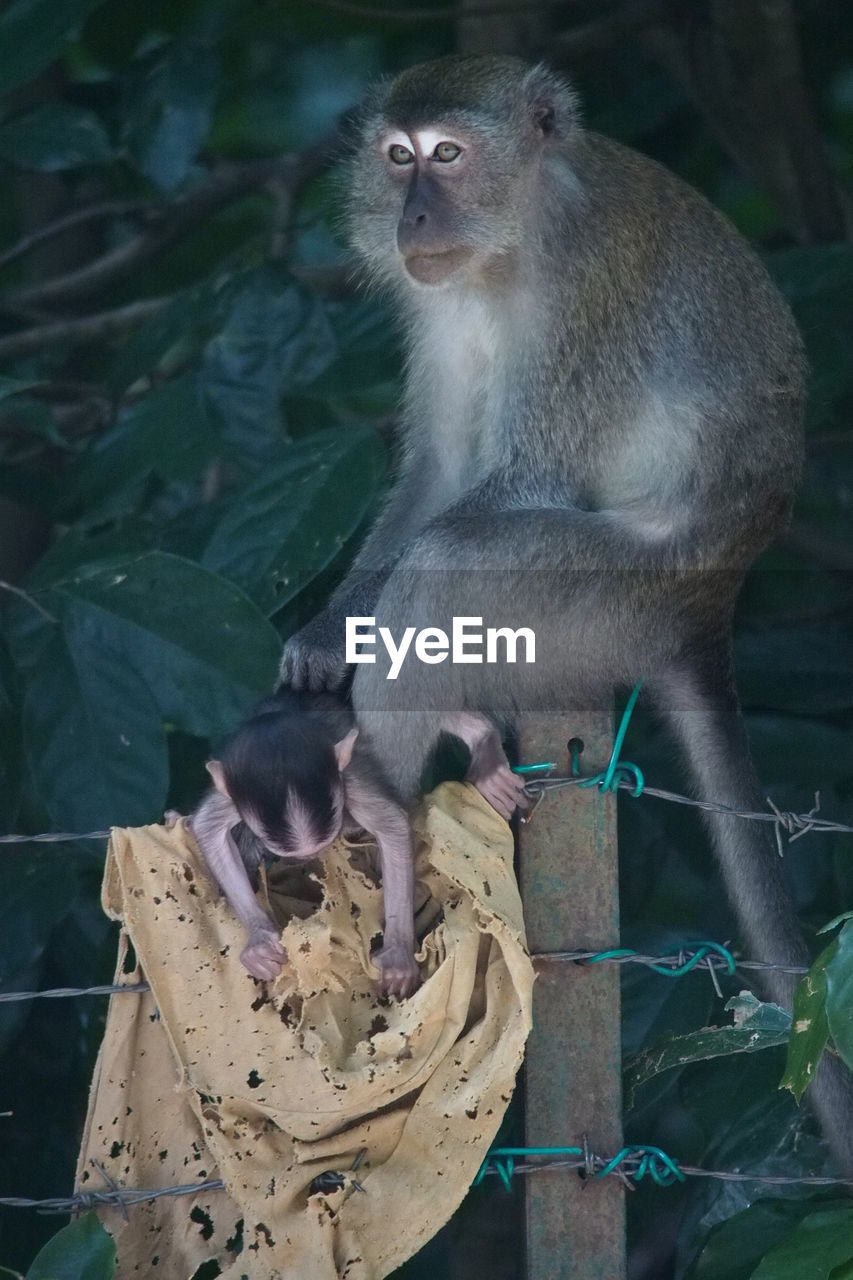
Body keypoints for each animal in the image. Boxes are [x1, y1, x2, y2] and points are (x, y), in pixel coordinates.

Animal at [184, 691, 525, 998]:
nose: (312, 855)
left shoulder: (349, 780)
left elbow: (391, 826)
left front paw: (398, 953)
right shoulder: (233, 795)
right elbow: (208, 826)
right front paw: (258, 940)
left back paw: (485, 742)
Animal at [281, 57, 850, 1162]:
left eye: (447, 154)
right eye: (398, 157)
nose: (414, 213)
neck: (515, 238)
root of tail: (706, 605)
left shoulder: (585, 295)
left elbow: (506, 486)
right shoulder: (439, 305)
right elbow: (441, 467)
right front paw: (326, 632)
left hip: (608, 600)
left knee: (455, 562)